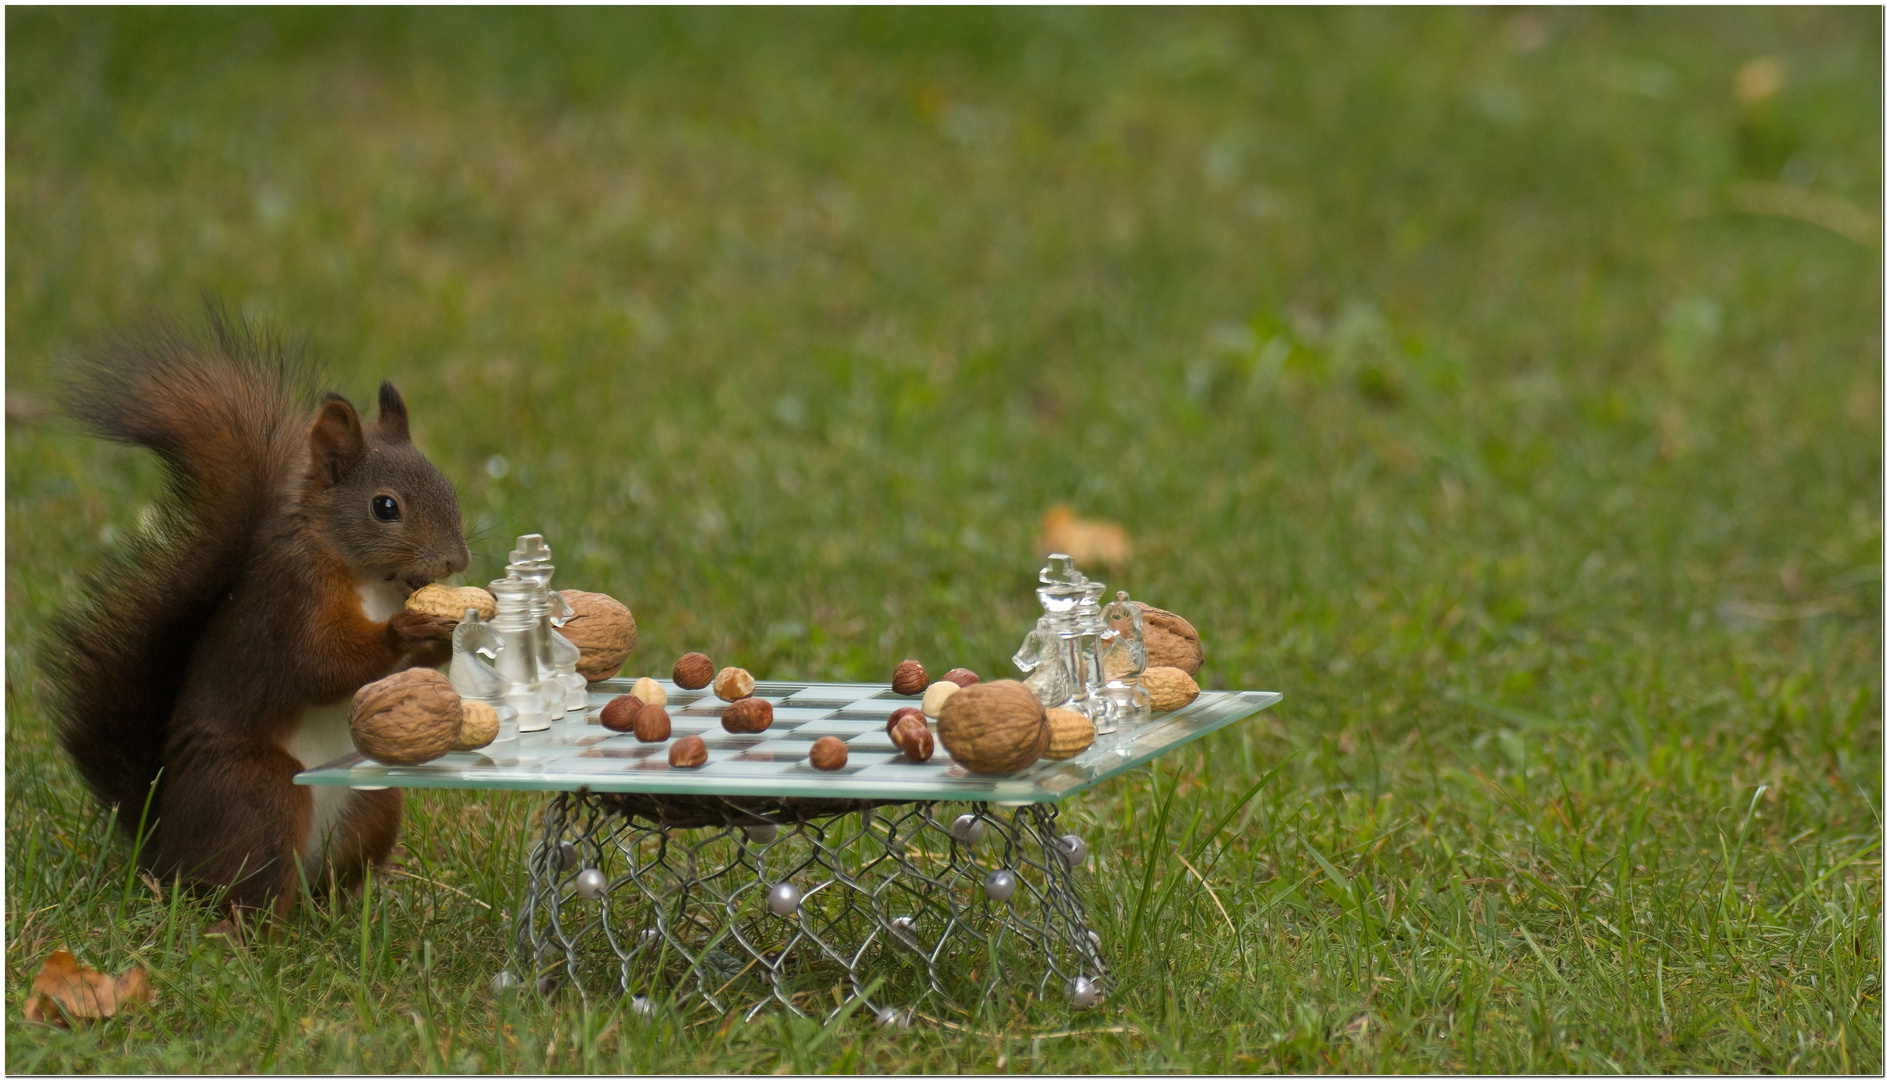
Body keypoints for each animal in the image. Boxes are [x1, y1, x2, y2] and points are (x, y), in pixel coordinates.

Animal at [54, 307, 467, 913]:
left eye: (449, 487)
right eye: (385, 507)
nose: (458, 561)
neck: (371, 581)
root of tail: (163, 849)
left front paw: (440, 638)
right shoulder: (289, 601)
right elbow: (317, 665)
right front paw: (403, 630)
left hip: (374, 797)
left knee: (328, 883)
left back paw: (349, 908)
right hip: (260, 794)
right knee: (250, 890)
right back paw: (249, 926)